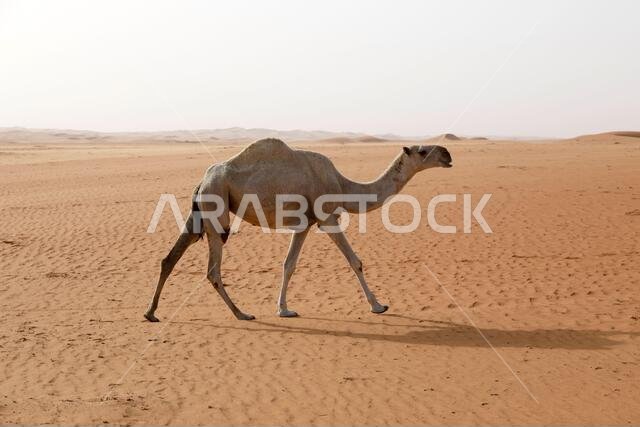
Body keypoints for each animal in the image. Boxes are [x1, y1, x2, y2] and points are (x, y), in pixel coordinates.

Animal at [144, 139, 452, 321]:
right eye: (423, 151)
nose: (447, 153)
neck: (343, 185)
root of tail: (203, 179)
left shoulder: (305, 222)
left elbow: (289, 264)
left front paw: (283, 308)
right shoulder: (327, 217)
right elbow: (355, 261)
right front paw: (378, 306)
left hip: (200, 211)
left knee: (171, 257)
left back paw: (151, 312)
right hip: (216, 205)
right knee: (212, 269)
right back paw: (242, 314)